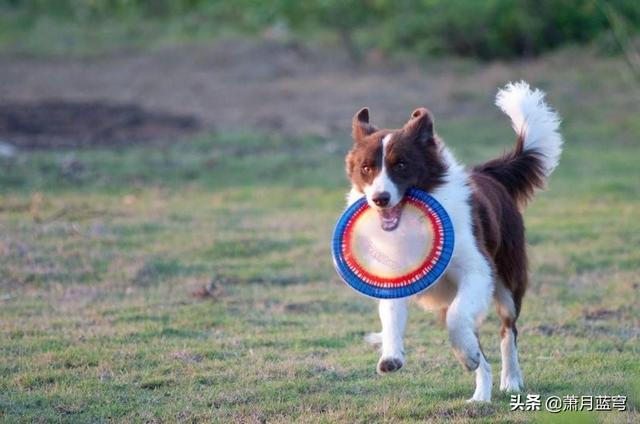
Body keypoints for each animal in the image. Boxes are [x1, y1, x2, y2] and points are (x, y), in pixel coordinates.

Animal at [344, 82, 560, 400]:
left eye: (401, 165)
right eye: (366, 168)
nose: (379, 199)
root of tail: (488, 174)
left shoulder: (478, 271)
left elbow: (458, 319)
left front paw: (466, 355)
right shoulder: (395, 276)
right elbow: (391, 314)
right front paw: (390, 355)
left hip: (508, 282)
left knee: (507, 330)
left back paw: (508, 379)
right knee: (481, 349)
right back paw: (480, 395)